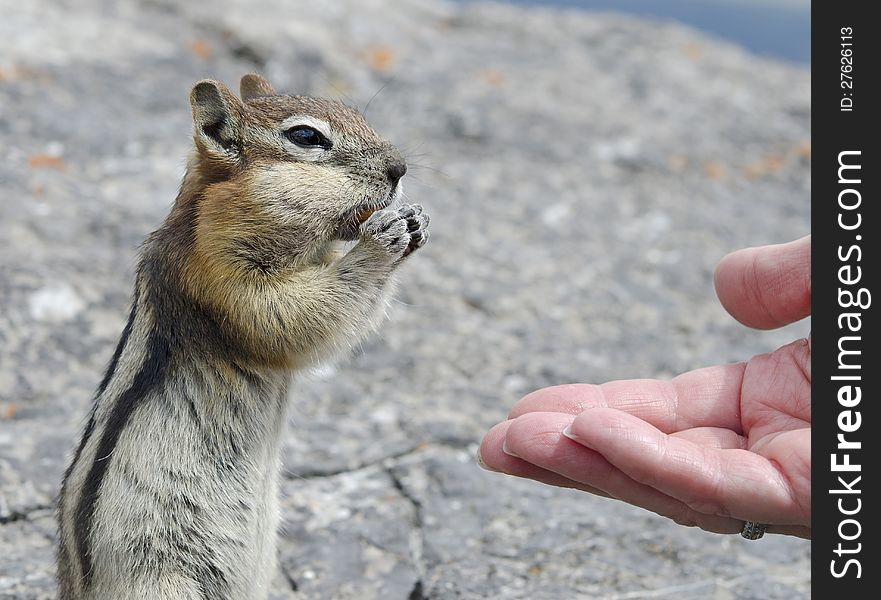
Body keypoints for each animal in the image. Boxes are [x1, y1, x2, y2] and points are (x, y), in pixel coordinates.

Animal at [55, 74, 430, 600]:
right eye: (306, 137)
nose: (400, 168)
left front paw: (413, 220)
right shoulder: (218, 270)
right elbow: (290, 317)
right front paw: (381, 241)